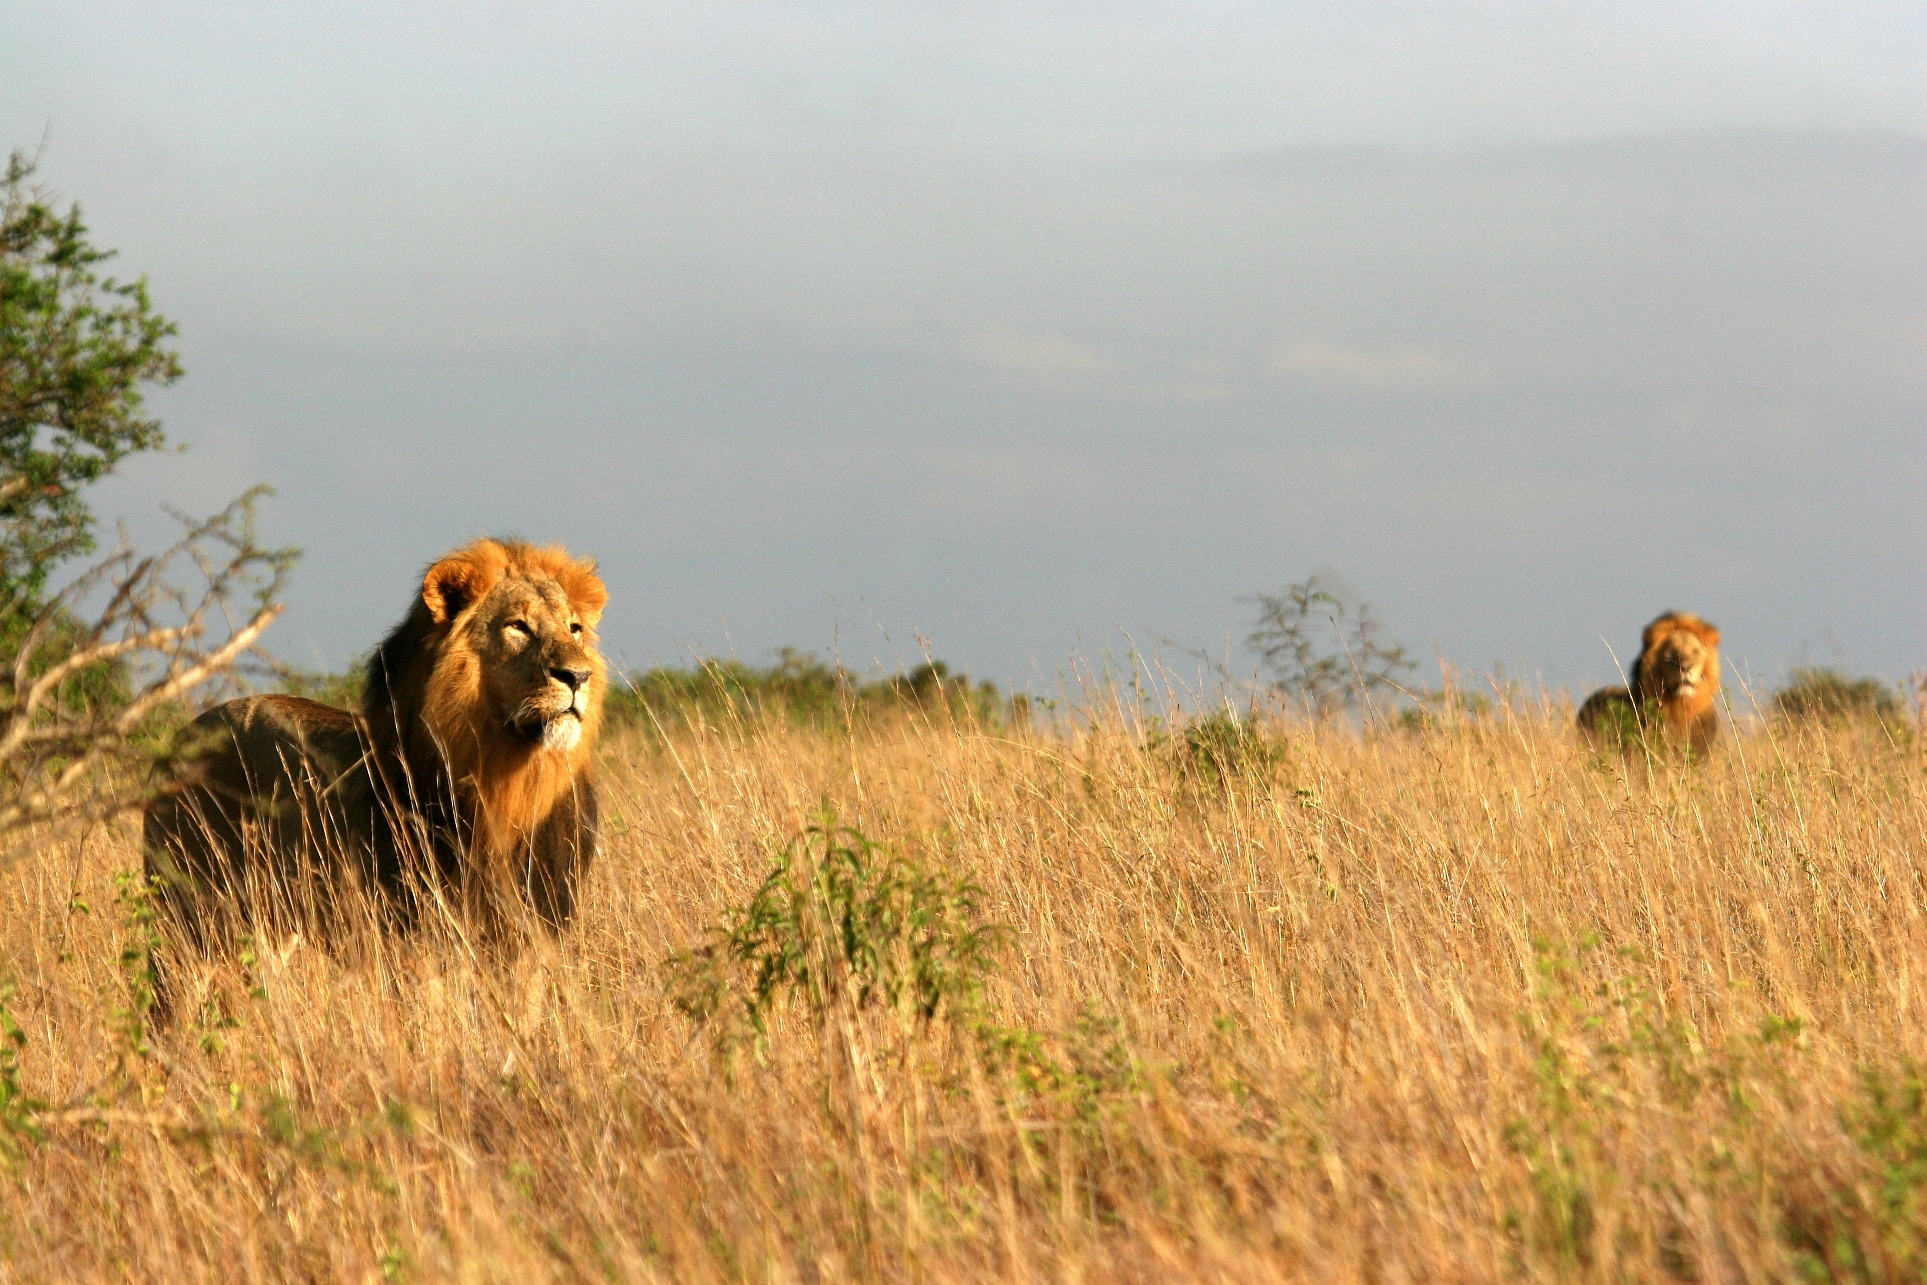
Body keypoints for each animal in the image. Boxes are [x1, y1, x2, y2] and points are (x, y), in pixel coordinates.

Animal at [143, 538, 608, 959]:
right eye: (518, 626)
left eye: (574, 629)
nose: (578, 676)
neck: (510, 783)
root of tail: (182, 736)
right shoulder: (409, 925)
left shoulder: (539, 924)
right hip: (187, 915)